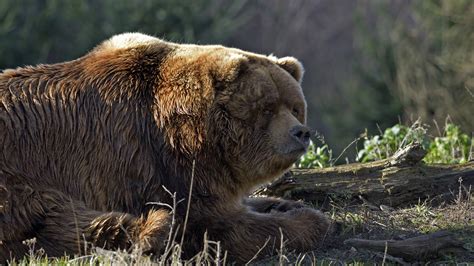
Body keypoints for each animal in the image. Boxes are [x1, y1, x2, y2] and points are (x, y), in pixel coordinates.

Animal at [0, 32, 332, 262]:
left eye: (295, 107)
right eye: (267, 108)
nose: (300, 132)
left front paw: (283, 204)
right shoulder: (159, 163)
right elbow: (216, 225)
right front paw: (308, 221)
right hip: (19, 175)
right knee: (55, 218)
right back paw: (155, 227)